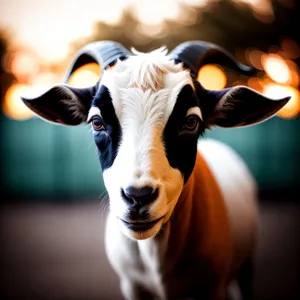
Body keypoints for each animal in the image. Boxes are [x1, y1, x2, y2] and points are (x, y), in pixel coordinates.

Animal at [21, 40, 290, 300]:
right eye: (97, 122)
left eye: (191, 121)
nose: (137, 196)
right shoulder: (132, 285)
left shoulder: (213, 287)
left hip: (245, 264)